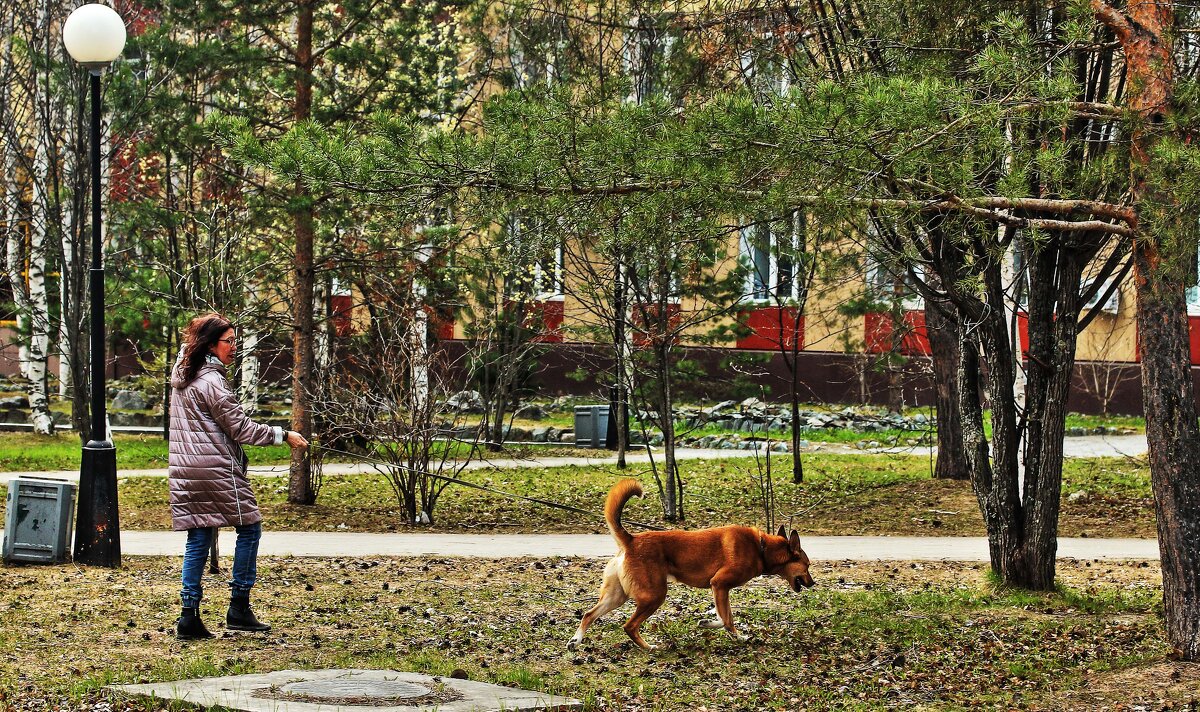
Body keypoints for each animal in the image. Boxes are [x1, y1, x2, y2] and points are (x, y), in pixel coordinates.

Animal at [564, 477, 811, 648]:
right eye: (807, 566)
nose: (813, 583)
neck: (761, 548)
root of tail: (631, 540)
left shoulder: (720, 590)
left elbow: (726, 616)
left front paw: (724, 630)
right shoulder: (719, 584)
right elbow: (726, 619)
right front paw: (724, 630)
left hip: (617, 596)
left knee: (589, 614)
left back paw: (575, 641)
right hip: (654, 595)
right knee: (629, 626)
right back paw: (649, 647)